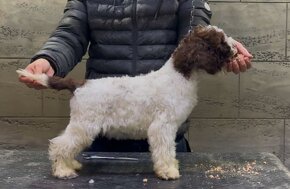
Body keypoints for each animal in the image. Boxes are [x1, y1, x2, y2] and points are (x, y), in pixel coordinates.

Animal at [16, 25, 238, 180]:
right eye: (220, 41)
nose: (235, 50)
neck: (179, 75)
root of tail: (80, 84)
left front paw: (170, 166)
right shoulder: (162, 126)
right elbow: (164, 150)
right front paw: (167, 171)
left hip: (82, 127)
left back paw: (71, 164)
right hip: (85, 125)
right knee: (59, 145)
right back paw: (63, 170)